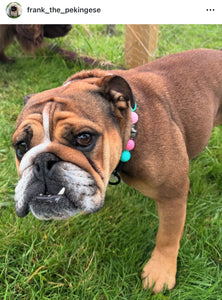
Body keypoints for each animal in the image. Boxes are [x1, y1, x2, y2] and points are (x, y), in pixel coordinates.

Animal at [11, 49, 222, 292]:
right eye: (21, 146)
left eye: (84, 138)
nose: (42, 161)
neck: (131, 130)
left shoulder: (172, 194)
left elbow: (168, 235)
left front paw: (160, 271)